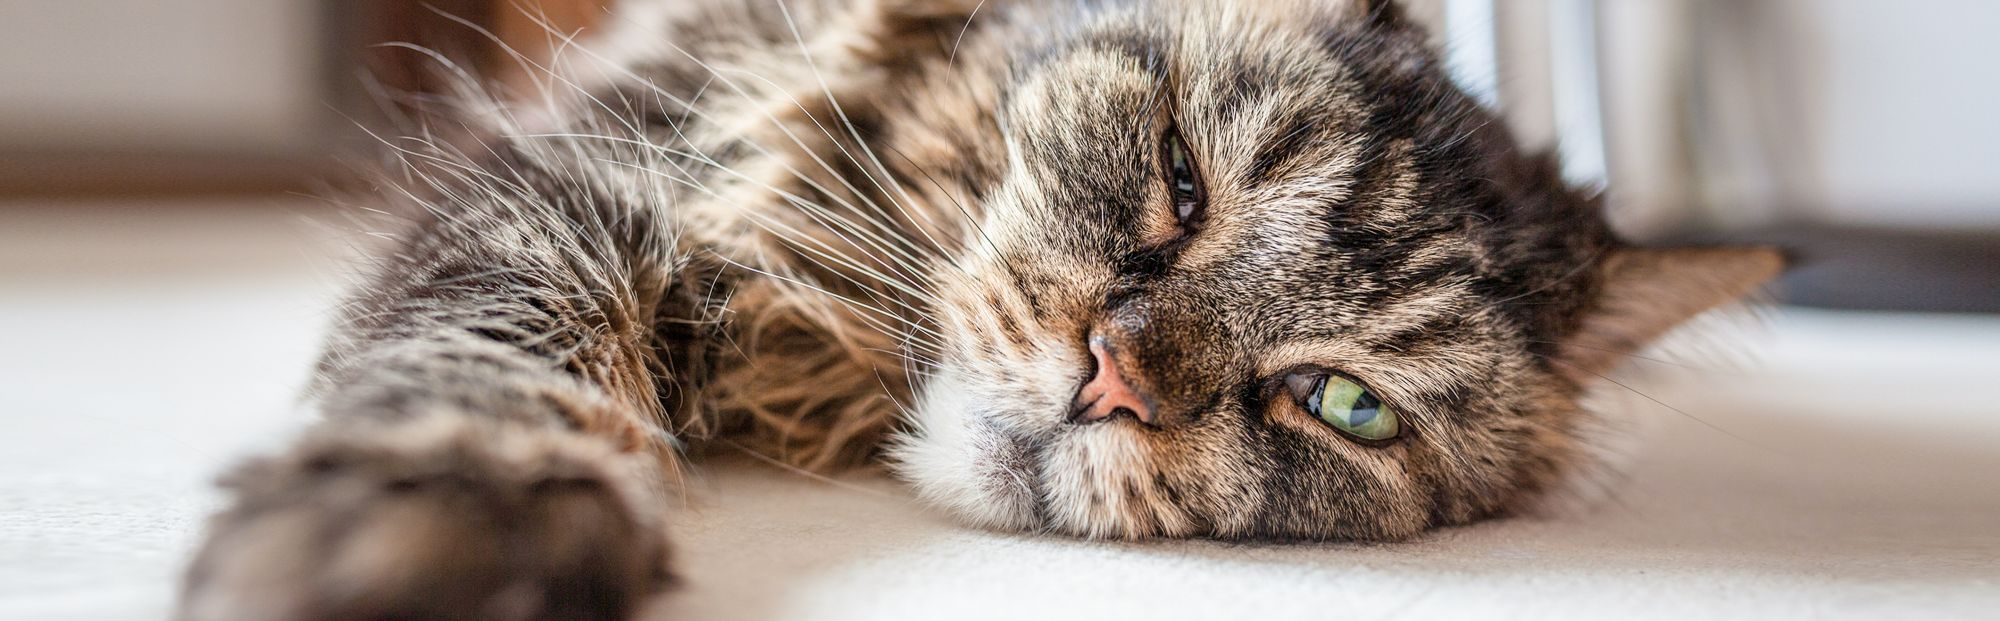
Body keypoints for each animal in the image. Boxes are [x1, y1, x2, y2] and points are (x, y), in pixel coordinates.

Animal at [180, 0, 1792, 616]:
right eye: (1180, 180)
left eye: (1344, 404)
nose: (1114, 378)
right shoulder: (582, 172)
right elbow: (498, 337)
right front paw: (447, 507)